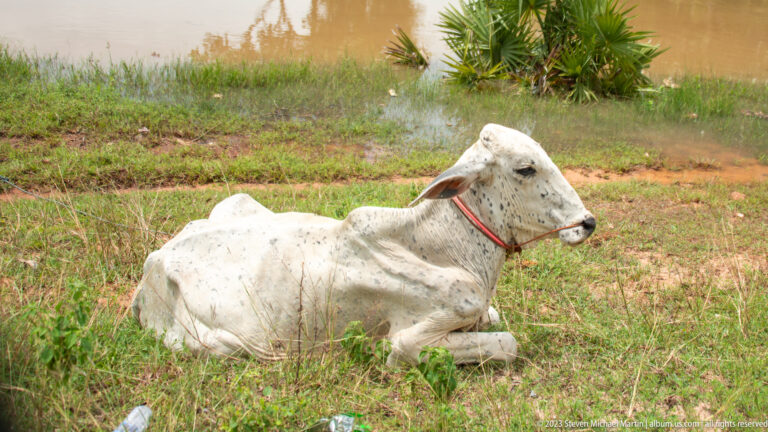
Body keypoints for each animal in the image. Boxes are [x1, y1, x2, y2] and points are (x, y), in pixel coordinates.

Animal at [131, 123, 595, 366]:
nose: (587, 223)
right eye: (525, 168)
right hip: (229, 345)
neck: (445, 246)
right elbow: (508, 343)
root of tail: (155, 261)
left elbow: (493, 318)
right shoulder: (411, 340)